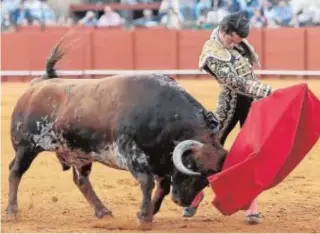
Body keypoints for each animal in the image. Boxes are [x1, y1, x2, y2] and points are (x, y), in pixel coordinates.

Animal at [6, 38, 228, 229]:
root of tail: (37, 85)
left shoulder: (162, 161)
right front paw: (144, 216)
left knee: (81, 181)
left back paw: (103, 212)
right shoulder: (131, 154)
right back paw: (12, 211)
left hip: (78, 153)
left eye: (208, 178)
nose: (182, 201)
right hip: (27, 146)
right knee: (15, 171)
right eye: (192, 166)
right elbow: (147, 182)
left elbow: (163, 186)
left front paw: (150, 212)